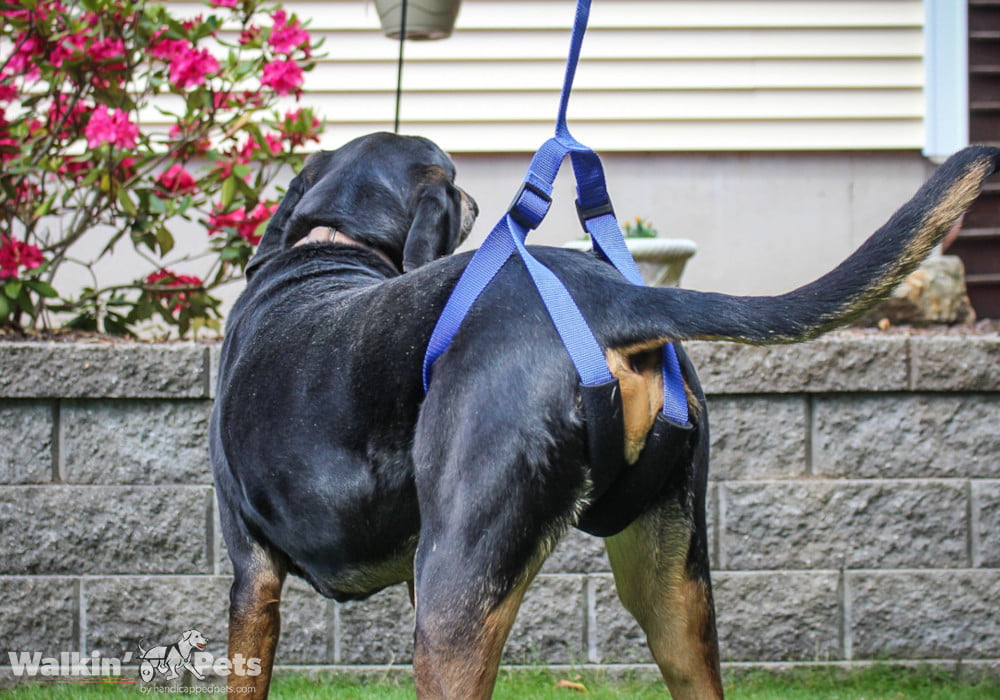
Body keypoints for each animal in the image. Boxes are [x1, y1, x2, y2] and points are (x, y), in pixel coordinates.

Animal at [211, 131, 999, 699]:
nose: (477, 198)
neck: (332, 248)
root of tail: (610, 297)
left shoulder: (254, 579)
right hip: (671, 592)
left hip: (455, 588)